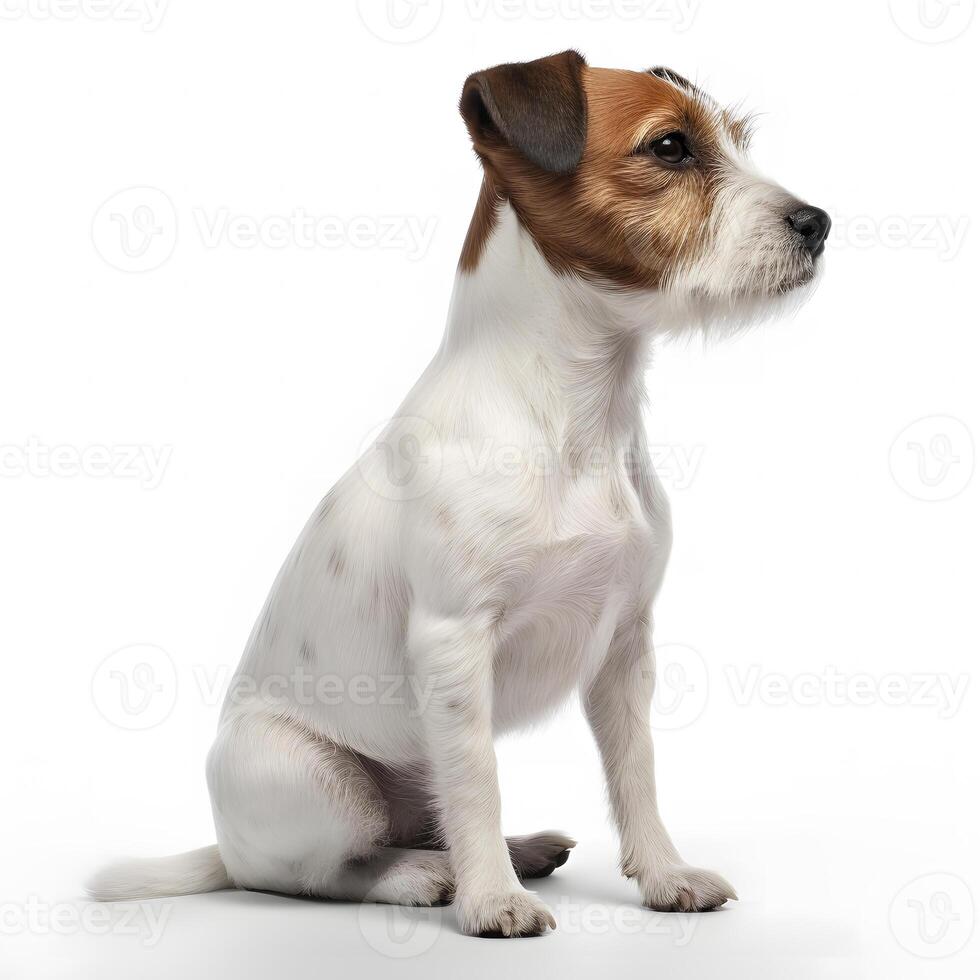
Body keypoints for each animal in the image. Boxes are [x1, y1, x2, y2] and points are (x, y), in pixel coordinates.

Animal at [90, 49, 828, 936]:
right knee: (319, 872)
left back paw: (518, 849)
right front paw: (491, 902)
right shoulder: (453, 642)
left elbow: (636, 772)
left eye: (738, 141)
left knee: (426, 814)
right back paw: (426, 876)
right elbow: (477, 779)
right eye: (670, 147)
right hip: (314, 779)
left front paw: (662, 875)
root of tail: (225, 850)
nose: (819, 223)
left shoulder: (626, 648)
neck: (572, 414)